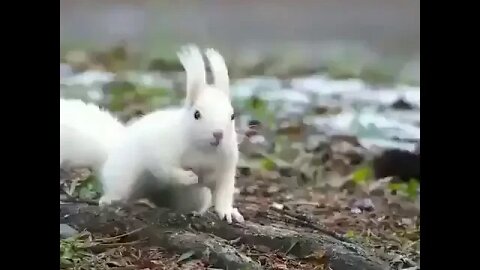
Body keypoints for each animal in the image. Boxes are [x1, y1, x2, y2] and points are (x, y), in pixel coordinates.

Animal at [100, 44, 246, 224]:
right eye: (197, 114)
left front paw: (228, 212)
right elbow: (167, 171)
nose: (218, 134)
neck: (204, 150)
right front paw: (190, 177)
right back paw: (109, 199)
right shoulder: (163, 152)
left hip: (194, 197)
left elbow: (223, 194)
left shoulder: (225, 168)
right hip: (123, 177)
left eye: (232, 116)